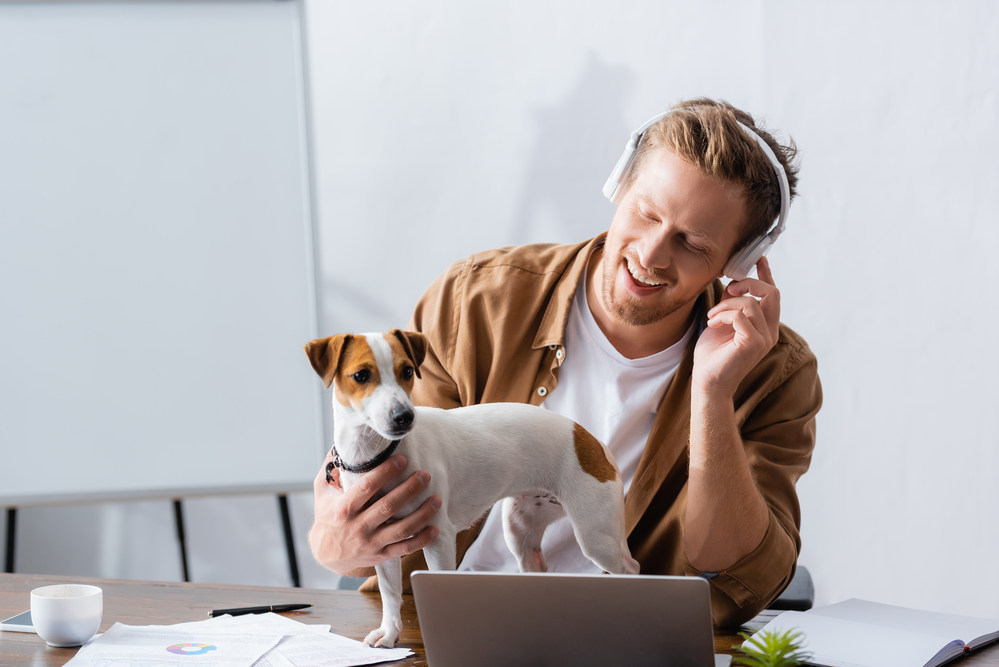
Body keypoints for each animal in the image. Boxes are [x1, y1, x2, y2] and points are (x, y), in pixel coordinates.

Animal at [300, 328, 640, 648]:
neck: (380, 453)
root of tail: (588, 437)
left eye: (407, 371)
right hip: (520, 531)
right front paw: (390, 632)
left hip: (597, 538)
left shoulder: (439, 537)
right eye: (361, 375)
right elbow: (391, 593)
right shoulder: (381, 544)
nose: (404, 416)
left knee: (631, 567)